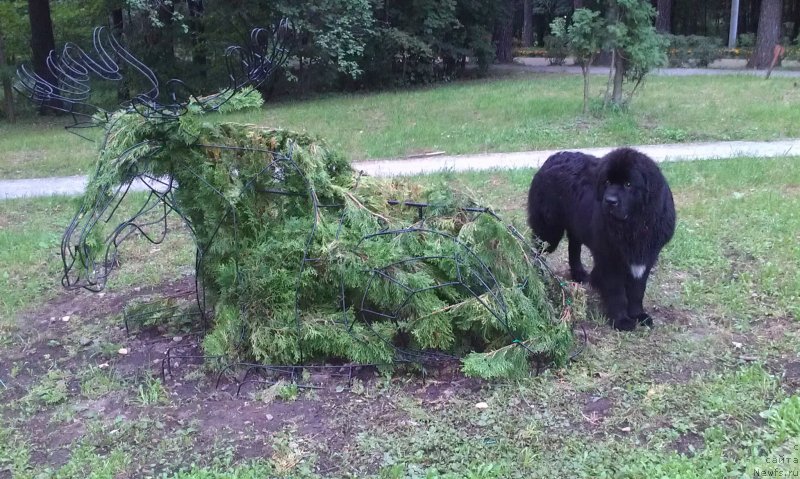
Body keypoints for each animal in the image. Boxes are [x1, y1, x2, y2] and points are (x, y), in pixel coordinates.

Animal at [532, 148, 676, 332]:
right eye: (607, 182)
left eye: (628, 184)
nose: (610, 201)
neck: (633, 226)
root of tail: (553, 157)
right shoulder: (609, 258)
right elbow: (617, 292)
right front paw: (621, 320)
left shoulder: (646, 256)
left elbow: (638, 290)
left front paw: (638, 315)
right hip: (549, 232)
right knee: (535, 250)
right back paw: (536, 276)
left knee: (574, 247)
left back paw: (579, 274)